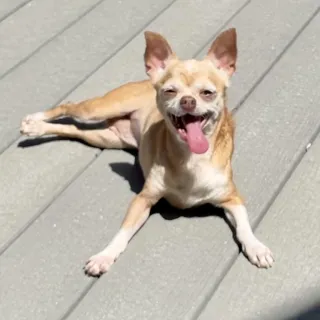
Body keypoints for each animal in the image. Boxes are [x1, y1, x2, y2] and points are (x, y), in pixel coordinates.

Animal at [21, 28, 274, 276]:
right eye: (170, 91)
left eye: (208, 93)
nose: (188, 101)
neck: (191, 159)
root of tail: (143, 80)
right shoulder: (143, 199)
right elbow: (123, 232)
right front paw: (105, 256)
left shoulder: (232, 199)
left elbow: (244, 226)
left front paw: (256, 247)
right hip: (96, 110)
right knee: (68, 106)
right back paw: (34, 121)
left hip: (104, 138)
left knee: (73, 130)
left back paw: (37, 128)